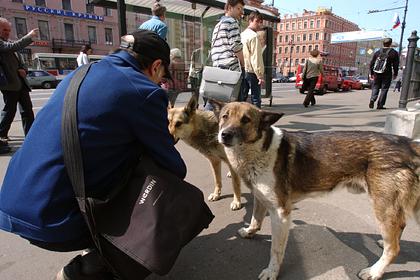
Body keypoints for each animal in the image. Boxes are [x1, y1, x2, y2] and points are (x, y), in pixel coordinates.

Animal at [210, 100, 420, 280]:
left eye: (246, 120)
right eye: (224, 117)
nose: (225, 135)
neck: (260, 148)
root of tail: (406, 143)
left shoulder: (281, 212)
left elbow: (276, 250)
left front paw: (272, 272)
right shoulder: (261, 198)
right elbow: (255, 220)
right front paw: (249, 232)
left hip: (383, 206)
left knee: (394, 248)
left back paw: (375, 271)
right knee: (398, 229)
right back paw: (384, 242)